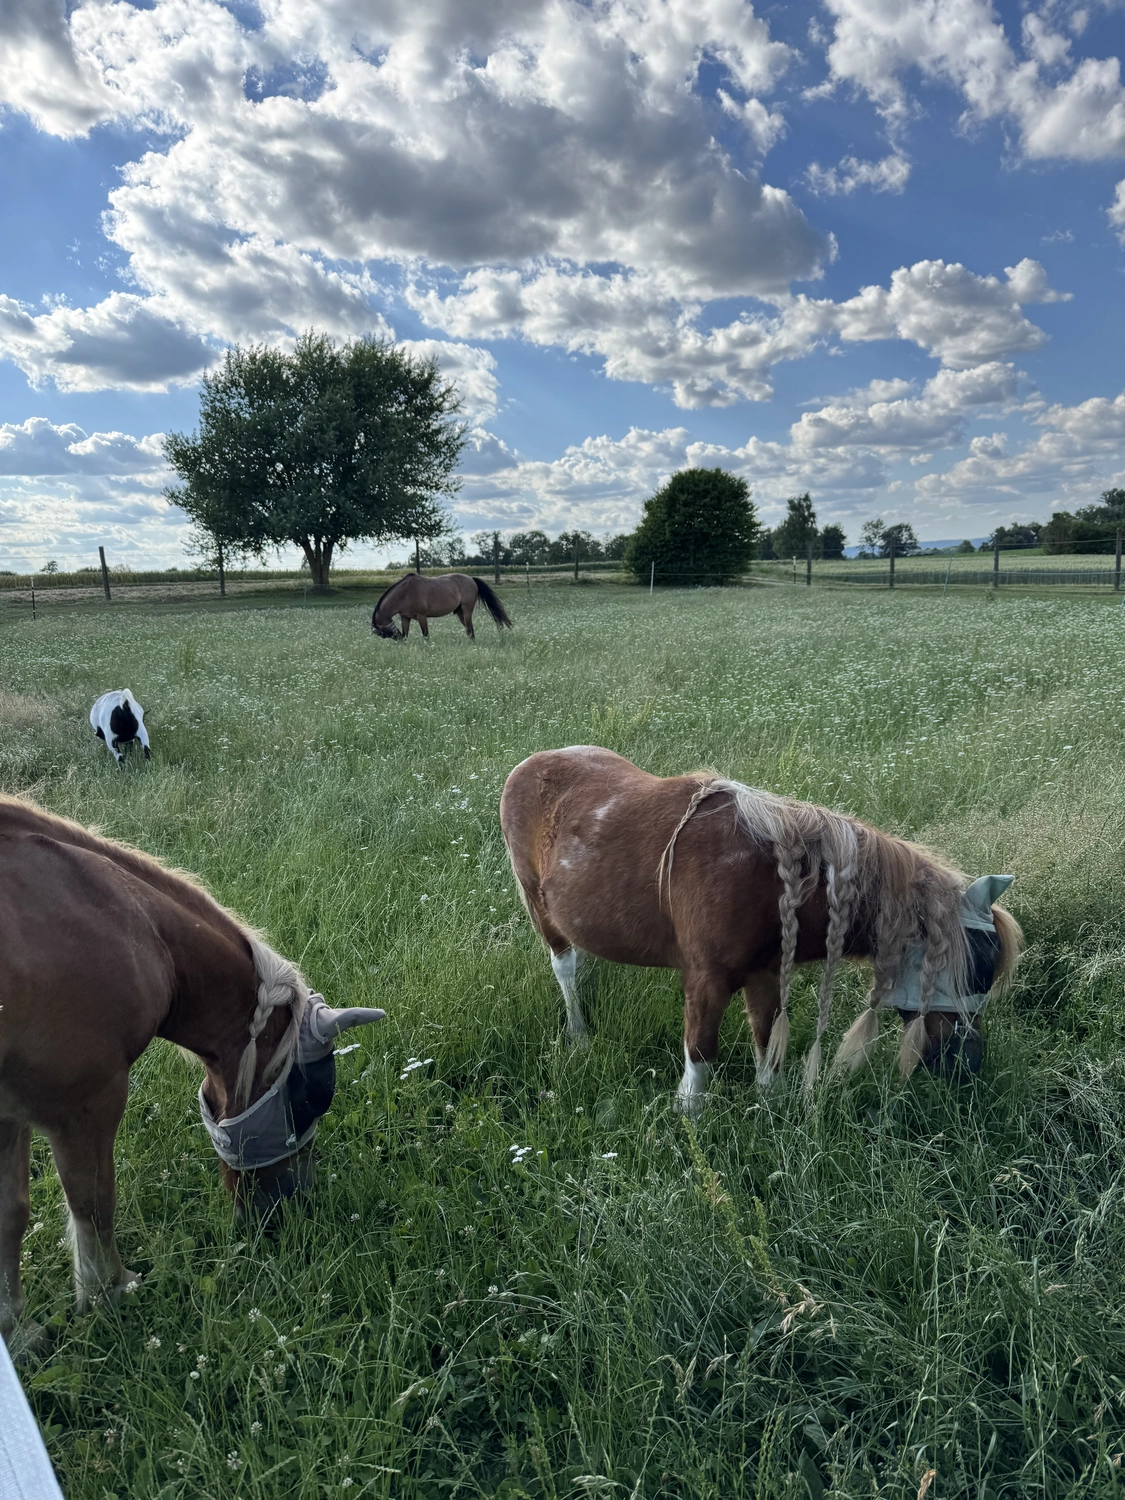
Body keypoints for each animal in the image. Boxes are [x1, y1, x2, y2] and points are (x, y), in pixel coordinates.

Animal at [0, 796, 383, 1351]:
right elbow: (94, 1200)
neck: (122, 919)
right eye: (311, 1099)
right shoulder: (87, 1099)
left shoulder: (10, 1113)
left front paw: (17, 1334)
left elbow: (10, 1214)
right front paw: (109, 1292)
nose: (292, 1205)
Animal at [371, 572, 512, 640]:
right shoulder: (405, 618)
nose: (398, 640)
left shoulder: (422, 617)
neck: (404, 592)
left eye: (383, 633)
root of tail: (471, 579)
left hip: (467, 610)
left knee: (469, 630)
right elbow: (406, 635)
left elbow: (426, 636)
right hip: (460, 613)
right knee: (470, 630)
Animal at [500, 747, 1022, 1111]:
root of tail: (533, 763)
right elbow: (699, 1056)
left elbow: (767, 1043)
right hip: (540, 908)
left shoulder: (766, 974)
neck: (772, 877)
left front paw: (767, 1109)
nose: (969, 1066)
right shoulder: (706, 981)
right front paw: (689, 1117)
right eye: (976, 968)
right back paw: (579, 1033)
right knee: (565, 968)